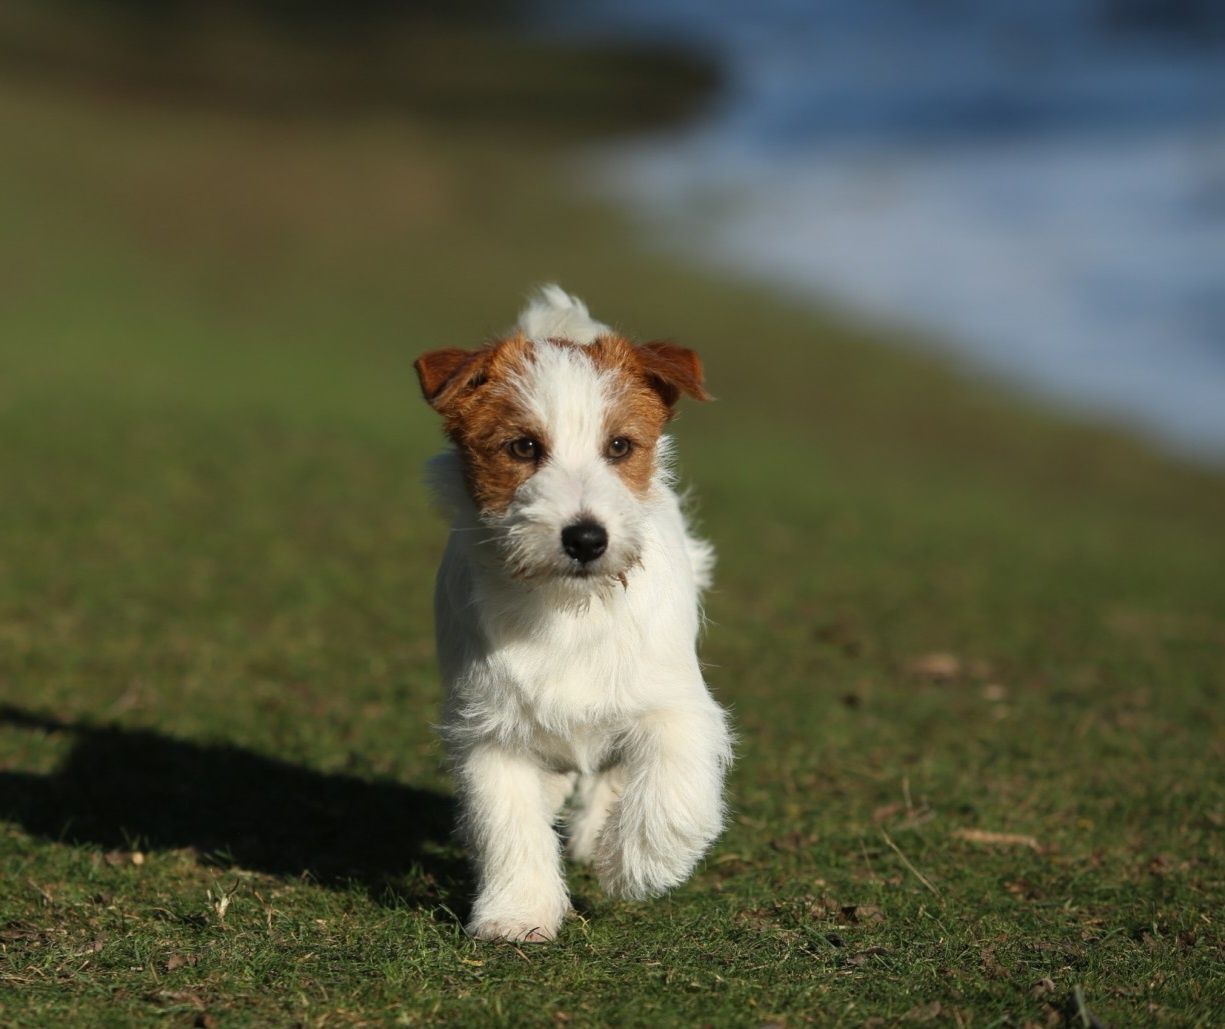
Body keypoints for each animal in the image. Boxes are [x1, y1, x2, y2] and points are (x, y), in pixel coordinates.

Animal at [411, 285, 735, 945]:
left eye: (620, 446)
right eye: (523, 447)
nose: (586, 538)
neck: (567, 610)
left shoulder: (676, 705)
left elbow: (670, 791)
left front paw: (633, 865)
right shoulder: (490, 731)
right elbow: (508, 823)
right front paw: (518, 914)